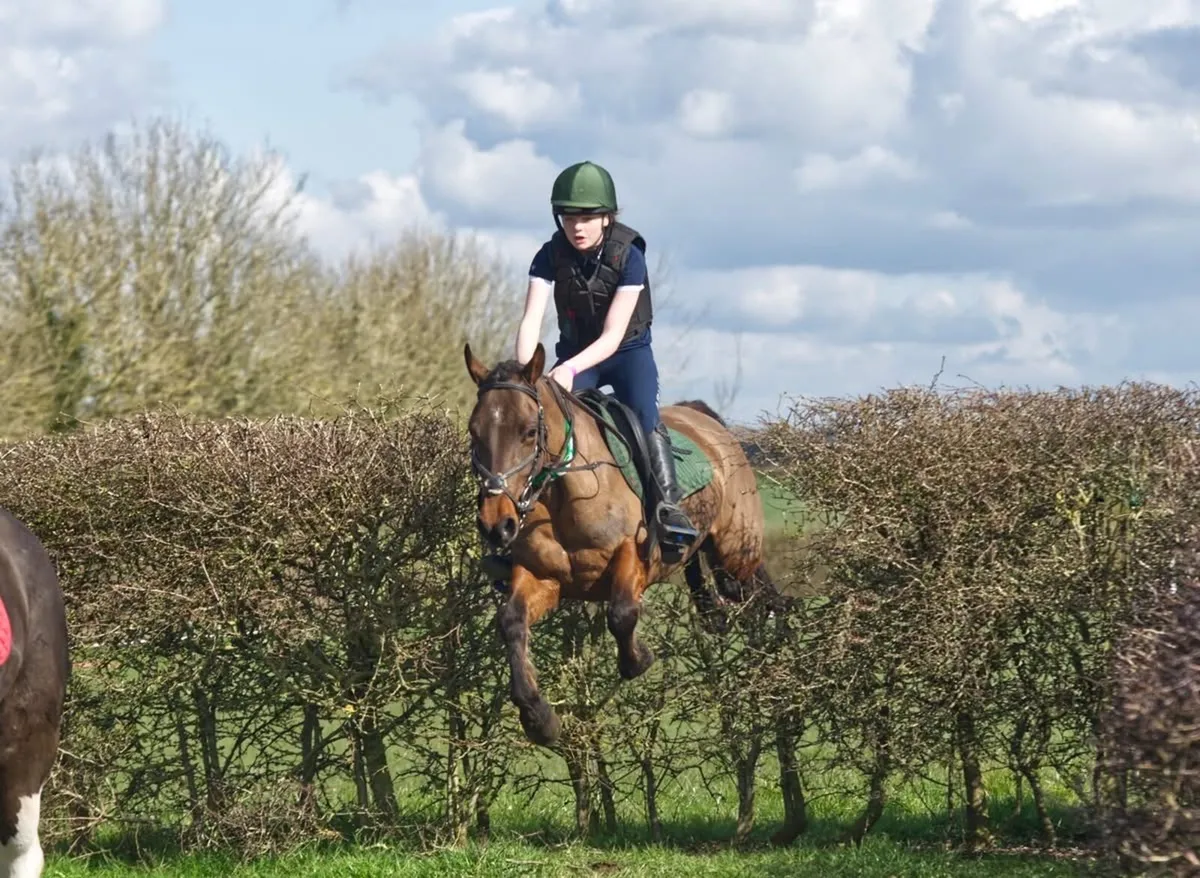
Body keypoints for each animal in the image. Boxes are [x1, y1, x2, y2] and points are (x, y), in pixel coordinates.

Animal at [464, 341, 780, 747]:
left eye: (529, 431)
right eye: (474, 432)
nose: (495, 525)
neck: (565, 493)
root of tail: (706, 420)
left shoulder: (633, 556)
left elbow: (621, 613)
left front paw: (640, 657)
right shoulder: (543, 577)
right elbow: (511, 622)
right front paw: (539, 718)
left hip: (736, 553)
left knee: (761, 596)